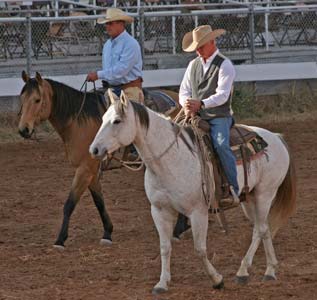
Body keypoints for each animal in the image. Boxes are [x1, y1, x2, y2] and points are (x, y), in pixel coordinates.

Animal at [17, 70, 180, 248]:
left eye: (37, 100)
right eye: (22, 98)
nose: (23, 130)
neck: (78, 122)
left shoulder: (85, 169)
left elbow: (70, 203)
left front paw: (60, 239)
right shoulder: (92, 171)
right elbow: (99, 201)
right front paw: (107, 233)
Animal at [89, 94, 296, 296]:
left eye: (117, 121)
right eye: (103, 118)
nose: (94, 150)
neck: (171, 159)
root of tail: (276, 137)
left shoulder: (198, 212)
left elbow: (200, 249)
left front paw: (217, 280)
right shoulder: (159, 210)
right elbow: (165, 247)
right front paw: (162, 283)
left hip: (265, 193)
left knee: (259, 229)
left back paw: (244, 271)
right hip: (249, 198)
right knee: (263, 228)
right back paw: (269, 270)